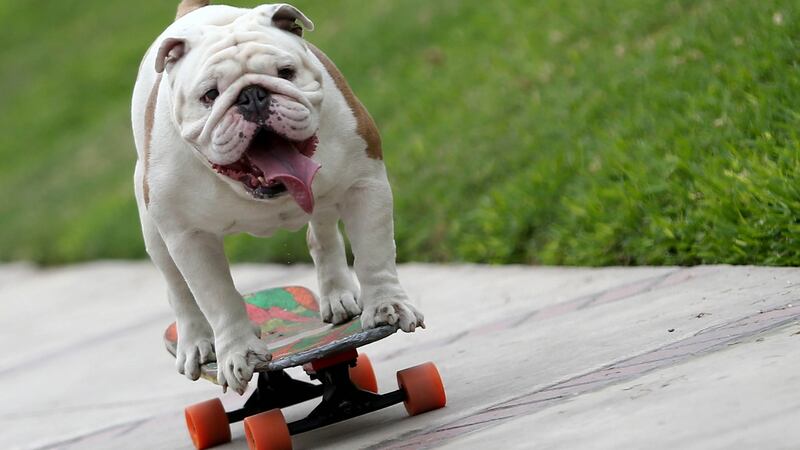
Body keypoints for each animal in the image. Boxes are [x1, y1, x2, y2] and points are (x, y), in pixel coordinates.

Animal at [130, 0, 424, 394]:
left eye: (286, 72)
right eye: (210, 95)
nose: (252, 95)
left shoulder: (365, 183)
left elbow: (373, 254)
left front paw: (387, 308)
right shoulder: (189, 237)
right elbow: (217, 298)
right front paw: (238, 353)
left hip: (326, 196)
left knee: (322, 235)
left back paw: (337, 295)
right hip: (155, 232)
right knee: (178, 289)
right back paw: (196, 343)